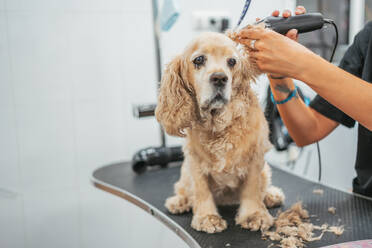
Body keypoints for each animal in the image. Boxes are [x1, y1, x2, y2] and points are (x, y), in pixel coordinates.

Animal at [154, 32, 284, 233]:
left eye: (232, 61)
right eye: (199, 59)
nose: (220, 78)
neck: (218, 125)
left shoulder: (255, 157)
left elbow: (253, 188)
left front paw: (254, 215)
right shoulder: (195, 161)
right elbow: (201, 190)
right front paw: (207, 217)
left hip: (266, 170)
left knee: (264, 184)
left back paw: (271, 195)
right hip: (184, 171)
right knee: (183, 188)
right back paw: (180, 202)